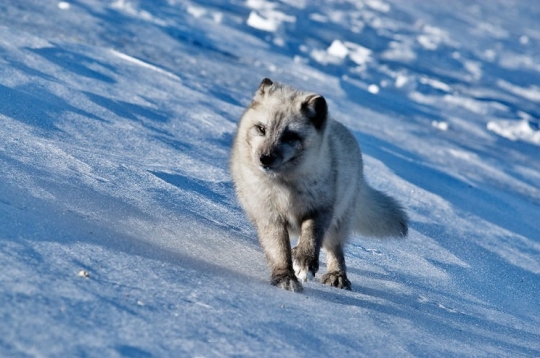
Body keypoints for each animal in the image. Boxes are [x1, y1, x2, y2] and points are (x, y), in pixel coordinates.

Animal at [230, 78, 408, 290]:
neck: (284, 187)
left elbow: (312, 237)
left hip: (339, 220)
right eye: (261, 129)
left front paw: (305, 263)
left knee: (335, 249)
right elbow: (279, 250)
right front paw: (284, 278)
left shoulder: (320, 209)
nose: (265, 158)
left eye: (290, 136)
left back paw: (336, 275)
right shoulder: (269, 216)